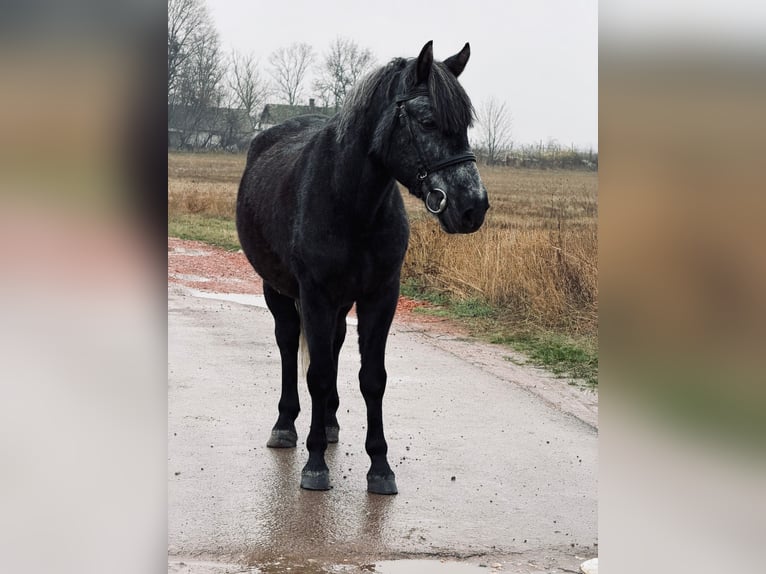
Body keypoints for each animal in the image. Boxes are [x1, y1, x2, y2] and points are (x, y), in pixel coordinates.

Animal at [236, 41, 489, 494]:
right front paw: (315, 463)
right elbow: (317, 374)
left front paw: (380, 467)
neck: (349, 202)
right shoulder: (315, 296)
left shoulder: (380, 296)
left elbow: (372, 378)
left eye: (465, 124)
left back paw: (330, 422)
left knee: (334, 346)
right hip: (278, 290)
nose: (472, 207)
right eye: (427, 121)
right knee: (288, 344)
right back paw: (286, 425)